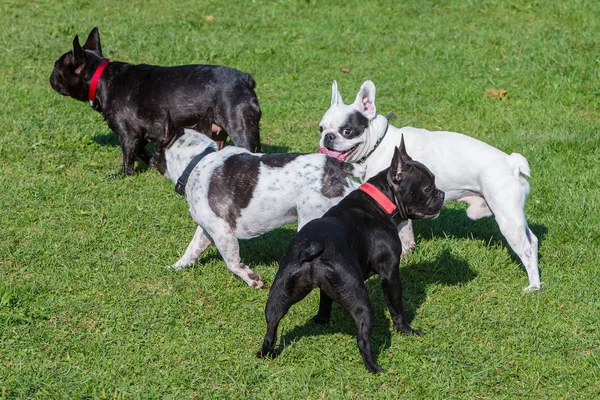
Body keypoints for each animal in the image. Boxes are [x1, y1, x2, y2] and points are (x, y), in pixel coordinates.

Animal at [155, 115, 364, 288]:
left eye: (156, 147)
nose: (151, 158)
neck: (196, 162)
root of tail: (340, 167)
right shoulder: (207, 229)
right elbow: (192, 249)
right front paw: (177, 267)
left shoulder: (221, 231)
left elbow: (232, 262)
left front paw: (251, 278)